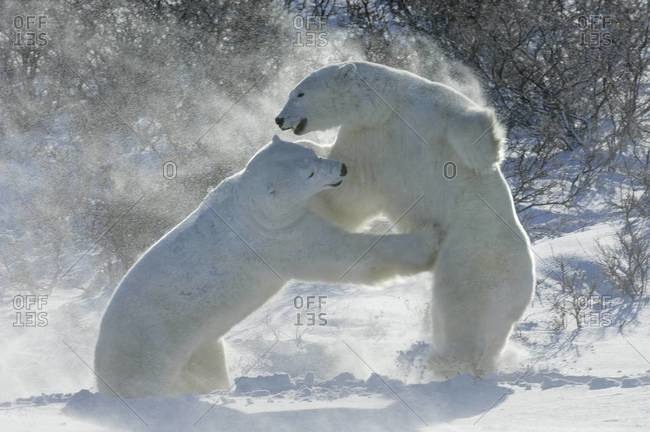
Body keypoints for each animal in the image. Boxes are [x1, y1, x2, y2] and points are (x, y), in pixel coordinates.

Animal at [95, 136, 440, 398]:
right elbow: (342, 255)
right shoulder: (278, 238)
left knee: (207, 363)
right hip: (149, 352)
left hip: (197, 347)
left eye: (311, 154)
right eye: (308, 174)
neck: (250, 204)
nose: (341, 168)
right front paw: (428, 240)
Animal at [276, 60, 536, 378]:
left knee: (464, 309)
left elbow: (472, 129)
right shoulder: (368, 140)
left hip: (476, 255)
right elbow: (350, 194)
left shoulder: (432, 109)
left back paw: (447, 362)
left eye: (299, 93)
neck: (385, 108)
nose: (279, 119)